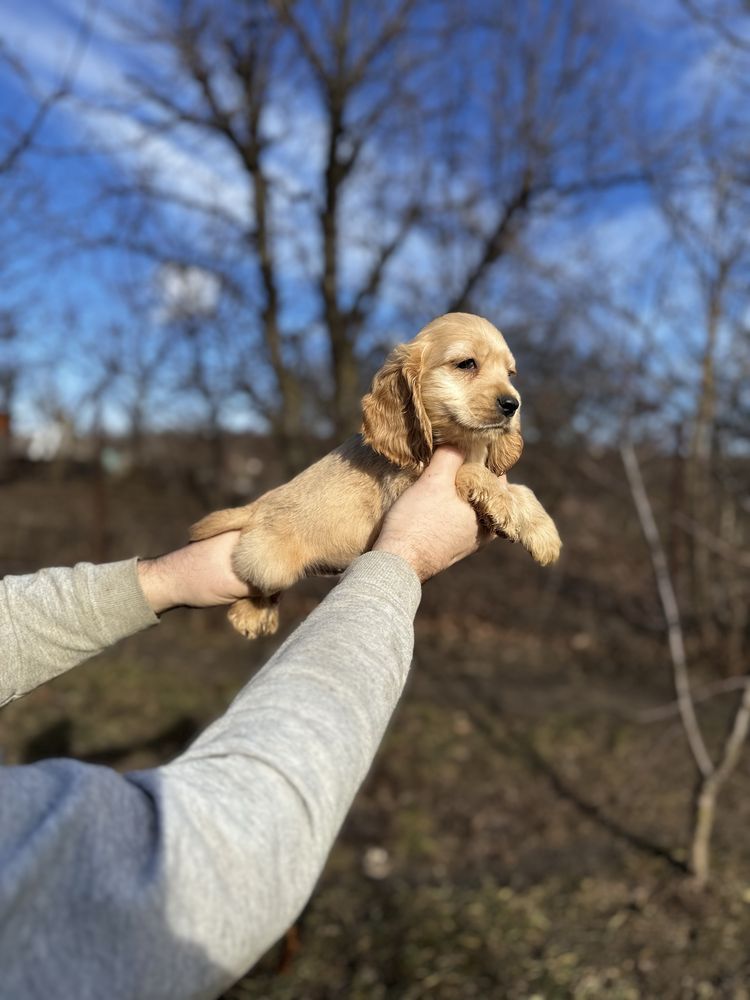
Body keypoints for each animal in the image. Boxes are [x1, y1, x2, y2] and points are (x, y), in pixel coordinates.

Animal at [191, 312, 560, 636]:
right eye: (467, 364)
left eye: (510, 373)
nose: (513, 405)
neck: (462, 443)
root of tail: (258, 506)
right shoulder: (410, 484)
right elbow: (472, 473)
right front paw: (516, 515)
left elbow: (523, 489)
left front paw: (544, 532)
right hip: (270, 568)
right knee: (254, 583)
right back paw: (250, 614)